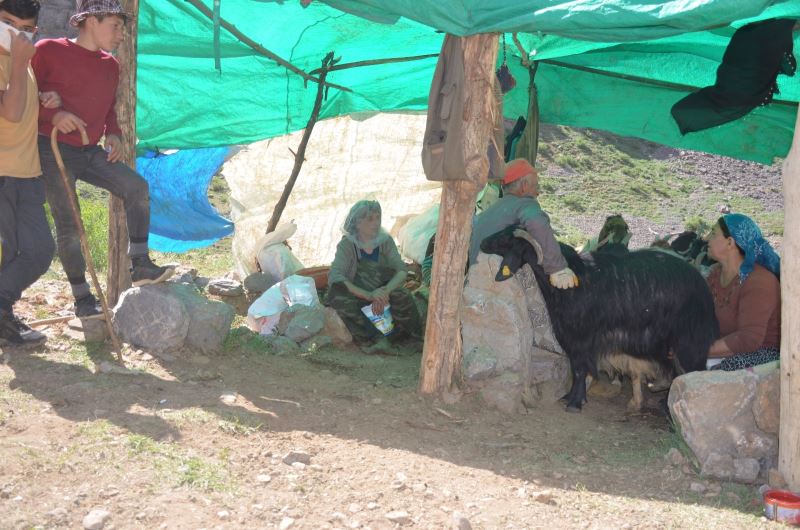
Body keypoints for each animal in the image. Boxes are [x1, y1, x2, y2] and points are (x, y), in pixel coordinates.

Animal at [482, 225, 720, 410]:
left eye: (507, 239)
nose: (483, 242)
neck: (572, 280)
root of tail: (702, 286)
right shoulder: (572, 338)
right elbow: (577, 368)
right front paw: (570, 397)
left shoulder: (581, 337)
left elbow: (580, 369)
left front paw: (575, 403)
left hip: (689, 341)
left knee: (692, 371)